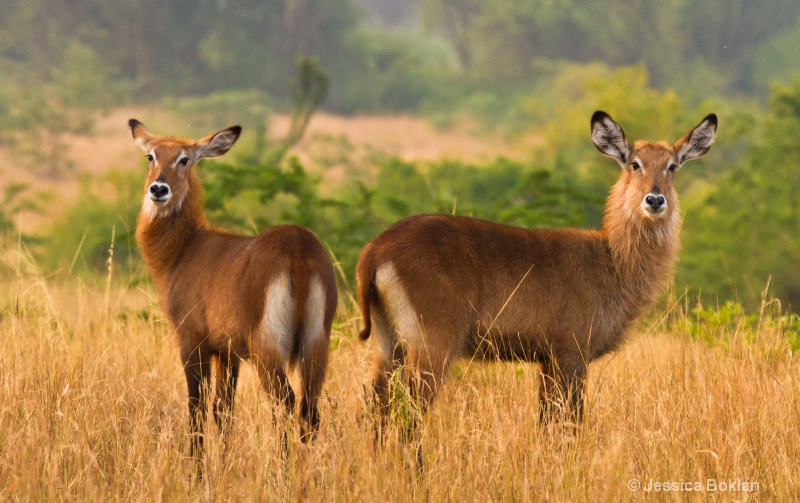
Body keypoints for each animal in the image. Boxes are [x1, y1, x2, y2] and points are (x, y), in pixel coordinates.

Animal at [127, 120, 338, 462]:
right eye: (151, 156)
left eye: (184, 159)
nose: (158, 189)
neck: (185, 249)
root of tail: (298, 248)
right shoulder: (228, 352)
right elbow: (223, 410)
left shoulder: (193, 341)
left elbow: (197, 408)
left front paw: (197, 467)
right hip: (316, 345)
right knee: (310, 410)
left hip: (268, 348)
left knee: (285, 401)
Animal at [356, 110, 720, 426]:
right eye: (634, 164)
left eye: (672, 166)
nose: (655, 200)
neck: (611, 260)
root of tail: (376, 249)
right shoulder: (570, 354)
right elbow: (569, 424)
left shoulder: (547, 359)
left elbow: (545, 423)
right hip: (432, 344)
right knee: (408, 413)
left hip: (389, 343)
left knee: (377, 410)